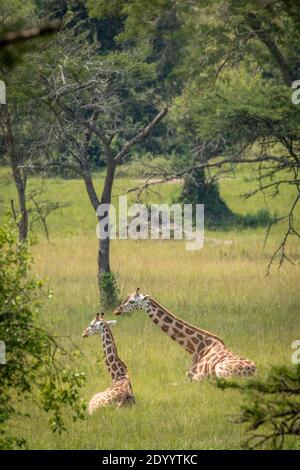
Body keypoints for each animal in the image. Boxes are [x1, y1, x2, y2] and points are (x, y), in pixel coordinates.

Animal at [113, 288, 256, 380]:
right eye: (126, 298)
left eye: (132, 301)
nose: (116, 311)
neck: (195, 348)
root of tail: (254, 372)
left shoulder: (195, 377)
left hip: (222, 371)